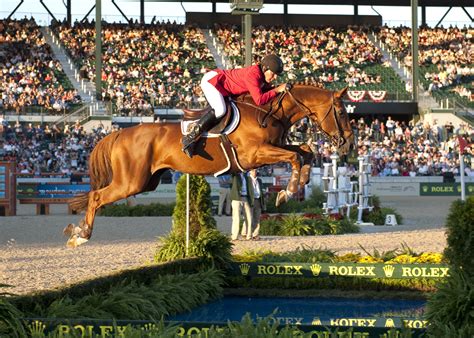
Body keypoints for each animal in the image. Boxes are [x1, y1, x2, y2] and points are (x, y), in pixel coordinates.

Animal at [65, 86, 356, 247]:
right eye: (342, 113)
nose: (349, 145)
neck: (270, 112)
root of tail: (119, 133)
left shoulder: (275, 148)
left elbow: (304, 152)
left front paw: (298, 184)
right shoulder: (256, 155)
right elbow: (296, 157)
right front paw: (287, 191)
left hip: (146, 181)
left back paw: (77, 230)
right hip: (130, 182)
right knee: (96, 196)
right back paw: (81, 234)